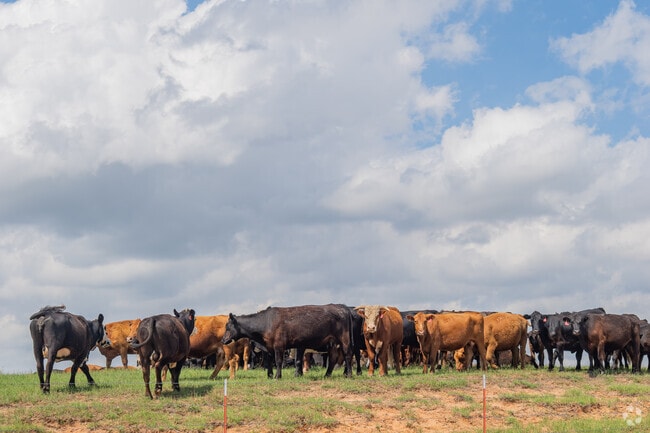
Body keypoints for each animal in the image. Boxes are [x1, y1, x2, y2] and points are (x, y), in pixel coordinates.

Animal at [221, 304, 354, 379]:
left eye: (228, 327)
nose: (222, 340)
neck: (266, 322)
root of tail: (343, 308)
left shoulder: (279, 346)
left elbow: (278, 361)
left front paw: (277, 376)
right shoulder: (271, 347)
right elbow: (271, 361)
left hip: (344, 339)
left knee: (348, 355)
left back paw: (349, 375)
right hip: (332, 342)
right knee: (333, 357)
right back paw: (327, 375)